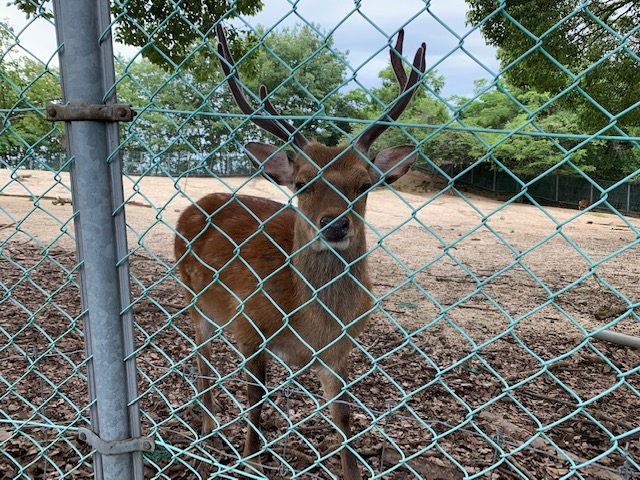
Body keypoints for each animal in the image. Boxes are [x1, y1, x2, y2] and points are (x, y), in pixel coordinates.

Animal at [175, 26, 424, 480]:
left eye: (364, 184)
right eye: (302, 183)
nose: (336, 224)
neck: (308, 321)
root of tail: (197, 202)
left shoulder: (340, 349)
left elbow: (343, 416)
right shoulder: (250, 327)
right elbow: (256, 401)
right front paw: (251, 461)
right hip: (193, 297)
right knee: (201, 358)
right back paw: (208, 427)